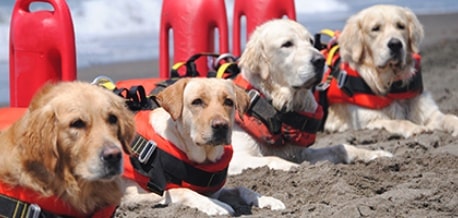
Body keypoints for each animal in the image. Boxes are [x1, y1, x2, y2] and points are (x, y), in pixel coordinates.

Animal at [121, 77, 286, 215]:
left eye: (229, 102)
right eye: (197, 101)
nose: (221, 126)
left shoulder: (216, 190)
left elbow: (241, 188)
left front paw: (266, 199)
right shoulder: (132, 194)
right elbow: (182, 191)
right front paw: (215, 205)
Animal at [224, 18, 392, 175]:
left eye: (311, 41)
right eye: (287, 44)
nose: (320, 60)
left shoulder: (300, 152)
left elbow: (340, 147)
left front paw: (376, 154)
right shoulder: (235, 158)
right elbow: (274, 159)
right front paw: (296, 169)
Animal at [316, 4, 458, 138]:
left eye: (401, 26)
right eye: (375, 28)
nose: (395, 44)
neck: (392, 82)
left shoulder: (427, 111)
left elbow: (448, 117)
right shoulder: (368, 120)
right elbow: (398, 121)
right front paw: (415, 128)